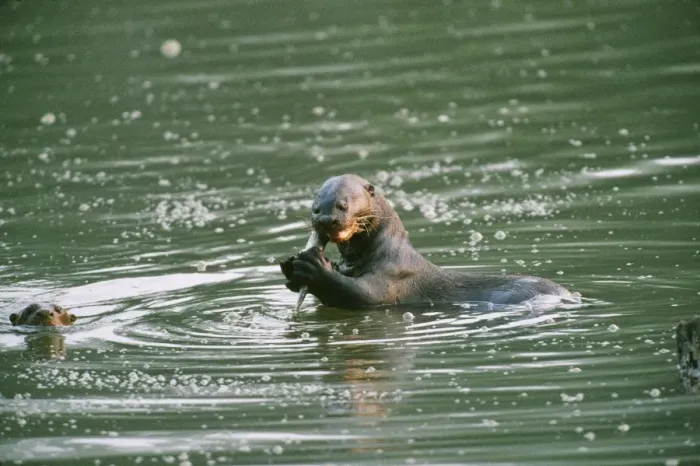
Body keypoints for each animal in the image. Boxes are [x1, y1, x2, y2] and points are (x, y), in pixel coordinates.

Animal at [280, 174, 578, 309]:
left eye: (343, 205)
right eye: (315, 208)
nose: (326, 220)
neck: (382, 251)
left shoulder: (393, 276)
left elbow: (364, 295)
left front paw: (315, 268)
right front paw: (289, 266)